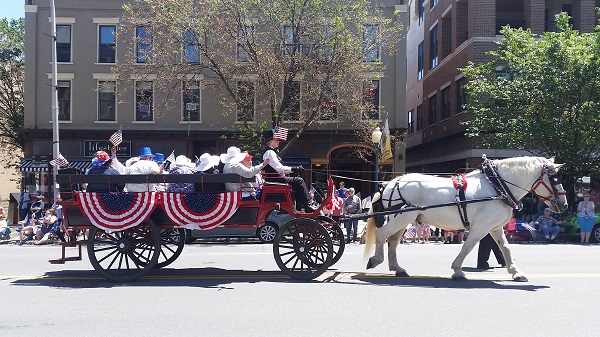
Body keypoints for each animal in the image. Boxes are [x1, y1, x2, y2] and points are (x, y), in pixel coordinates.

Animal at [366, 156, 568, 280]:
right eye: (555, 179)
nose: (564, 204)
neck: (497, 186)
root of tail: (391, 182)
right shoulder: (481, 227)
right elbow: (468, 246)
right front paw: (457, 270)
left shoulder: (494, 227)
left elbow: (505, 247)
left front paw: (516, 272)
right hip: (402, 217)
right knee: (382, 235)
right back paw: (375, 260)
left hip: (403, 218)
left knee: (393, 240)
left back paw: (398, 268)